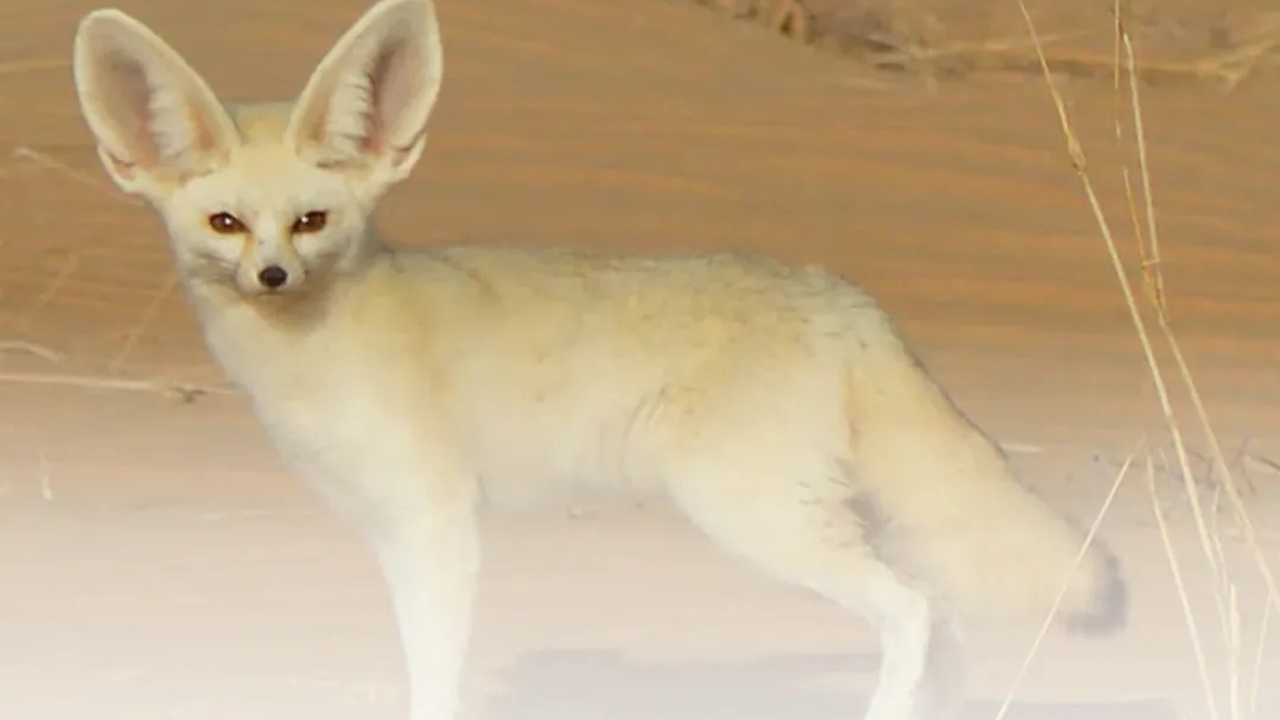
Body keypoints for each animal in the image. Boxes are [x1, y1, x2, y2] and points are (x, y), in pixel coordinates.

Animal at [69, 0, 1126, 718]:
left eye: (311, 220)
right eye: (226, 223)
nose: (274, 275)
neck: (318, 352)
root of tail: (842, 293)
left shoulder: (436, 525)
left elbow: (434, 674)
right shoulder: (387, 529)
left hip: (761, 519)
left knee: (911, 614)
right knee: (943, 621)